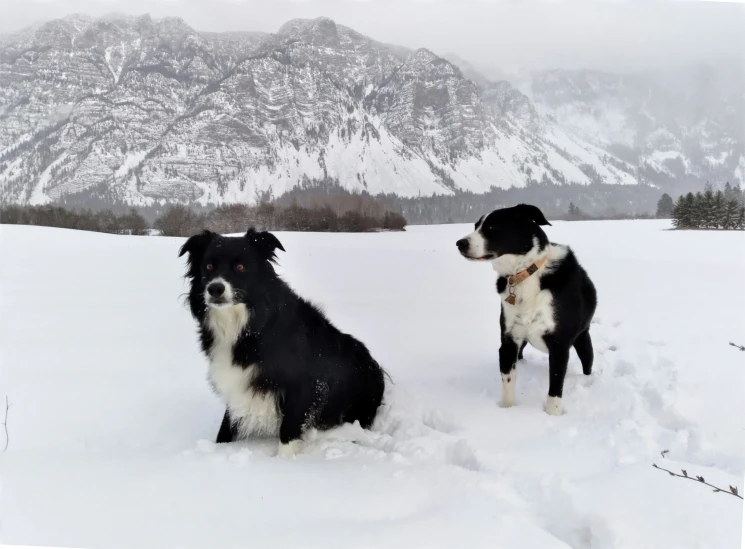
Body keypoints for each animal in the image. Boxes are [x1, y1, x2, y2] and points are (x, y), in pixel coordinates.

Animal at [179, 229, 384, 456]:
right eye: (208, 266)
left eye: (240, 267)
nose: (215, 288)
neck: (248, 326)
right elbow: (226, 426)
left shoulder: (303, 384)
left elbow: (289, 429)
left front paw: (283, 461)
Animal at [454, 206, 600, 416]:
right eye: (476, 226)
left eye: (492, 226)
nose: (459, 243)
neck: (525, 274)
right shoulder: (509, 340)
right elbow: (508, 381)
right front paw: (507, 411)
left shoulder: (559, 345)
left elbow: (556, 386)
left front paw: (553, 414)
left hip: (582, 338)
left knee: (587, 361)